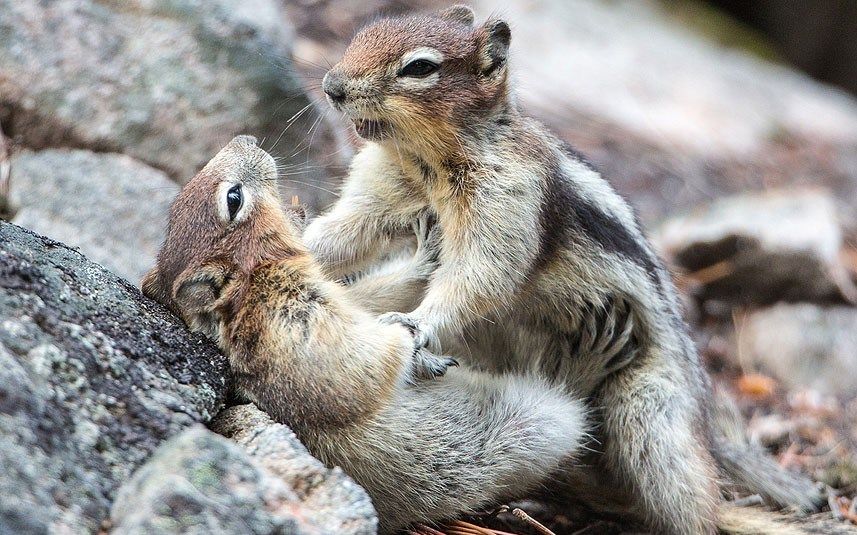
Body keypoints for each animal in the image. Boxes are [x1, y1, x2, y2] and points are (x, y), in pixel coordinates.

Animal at [140, 136, 608, 532]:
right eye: (233, 198)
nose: (248, 138)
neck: (259, 279)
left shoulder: (340, 295)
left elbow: (368, 298)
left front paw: (426, 254)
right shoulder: (295, 320)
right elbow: (368, 363)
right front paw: (413, 343)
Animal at [304, 5, 820, 535]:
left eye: (419, 68)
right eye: (362, 35)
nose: (331, 86)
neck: (425, 160)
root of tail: (703, 412)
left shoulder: (511, 200)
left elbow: (482, 276)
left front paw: (414, 322)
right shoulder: (379, 187)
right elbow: (342, 233)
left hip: (650, 411)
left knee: (691, 502)